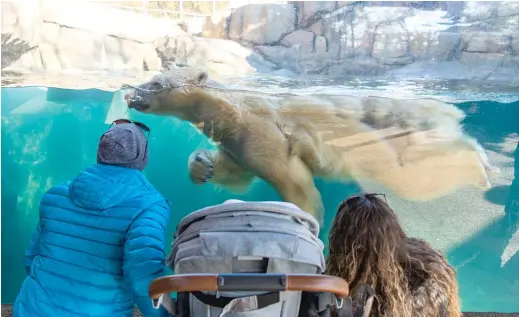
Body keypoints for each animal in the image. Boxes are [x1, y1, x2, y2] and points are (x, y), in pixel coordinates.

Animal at [125, 66, 500, 220]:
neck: (233, 109)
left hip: (383, 148)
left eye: (155, 81)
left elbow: (292, 179)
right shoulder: (237, 142)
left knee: (417, 178)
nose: (131, 94)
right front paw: (202, 166)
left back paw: (482, 165)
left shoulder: (261, 131)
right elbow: (237, 172)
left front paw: (307, 216)